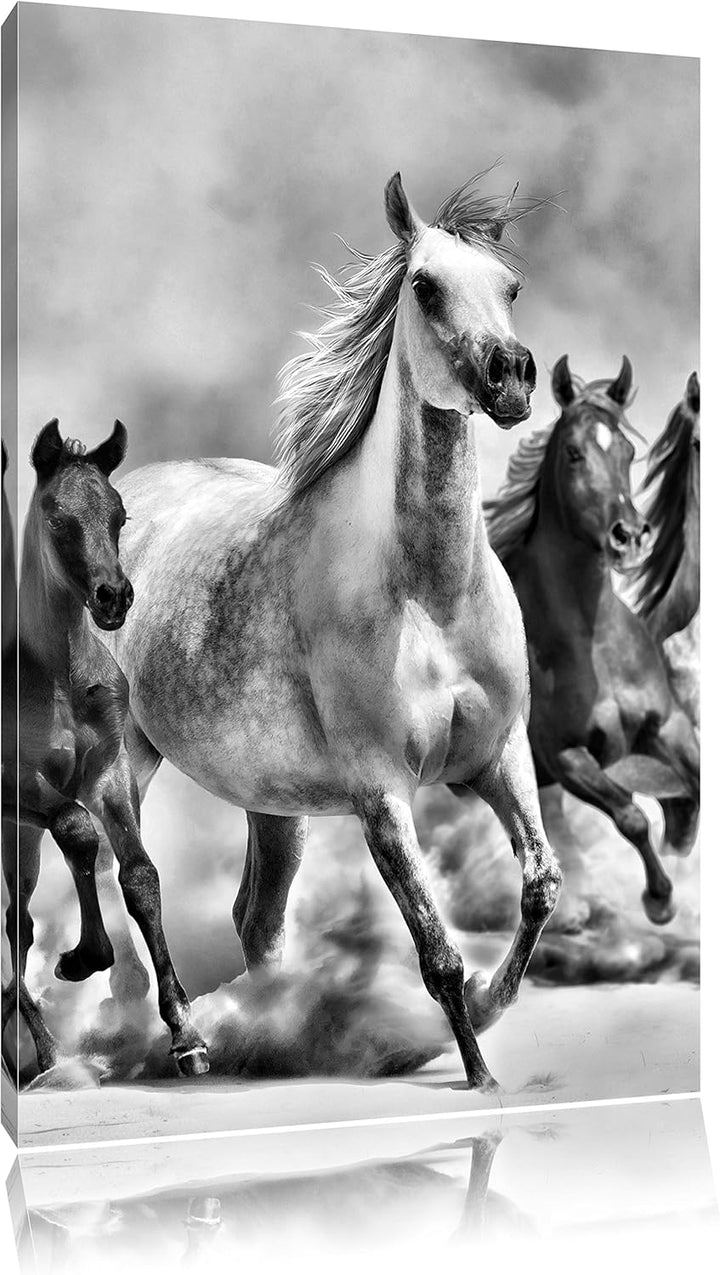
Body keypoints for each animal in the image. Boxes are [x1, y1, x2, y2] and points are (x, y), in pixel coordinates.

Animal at [1, 420, 208, 1078]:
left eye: (119, 514)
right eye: (55, 514)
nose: (113, 596)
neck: (61, 676)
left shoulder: (109, 773)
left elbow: (138, 875)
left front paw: (186, 1035)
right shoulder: (16, 784)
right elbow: (77, 828)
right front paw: (82, 959)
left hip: (19, 838)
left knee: (19, 921)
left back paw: (42, 1056)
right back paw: (43, 1057)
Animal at [103, 171, 562, 1093]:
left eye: (510, 287)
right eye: (425, 286)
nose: (512, 377)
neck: (430, 595)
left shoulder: (502, 754)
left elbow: (540, 887)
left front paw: (490, 1006)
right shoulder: (383, 793)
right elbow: (437, 950)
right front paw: (478, 1072)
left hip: (272, 802)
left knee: (257, 917)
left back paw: (279, 1038)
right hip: (122, 757)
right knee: (139, 878)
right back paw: (190, 1040)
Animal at [485, 355, 700, 926]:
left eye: (627, 450)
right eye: (574, 453)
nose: (630, 537)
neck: (593, 642)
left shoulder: (671, 725)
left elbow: (692, 793)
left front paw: (680, 847)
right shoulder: (567, 757)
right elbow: (631, 815)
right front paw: (660, 900)